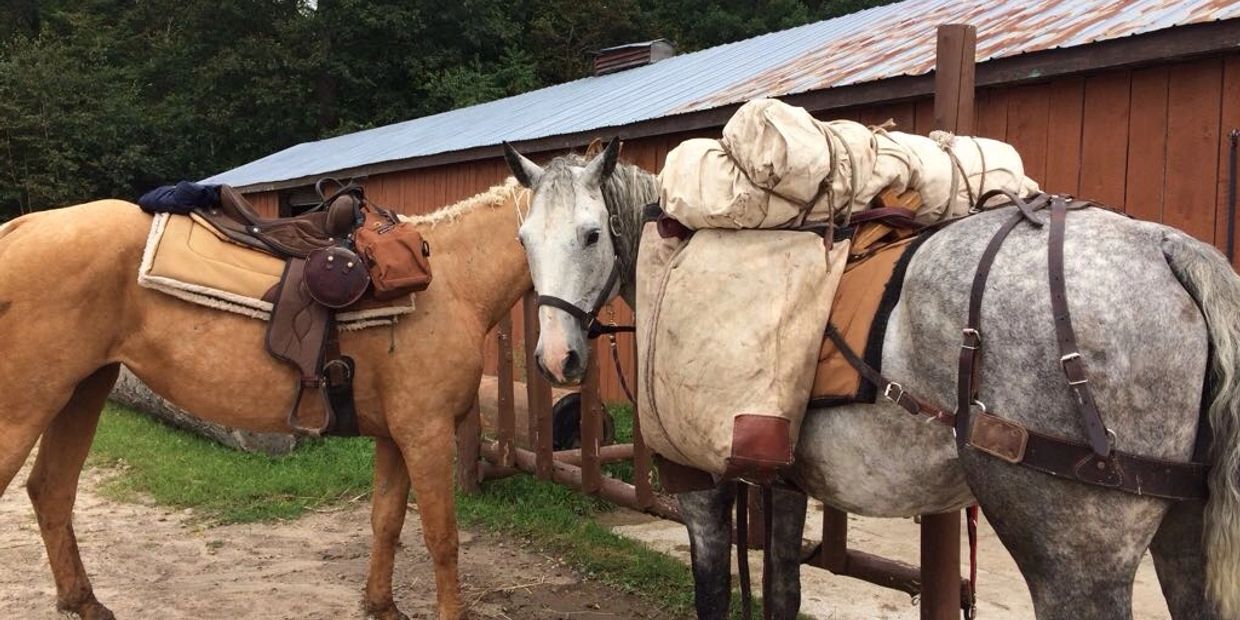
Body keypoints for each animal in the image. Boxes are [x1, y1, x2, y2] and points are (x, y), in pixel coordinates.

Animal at [0, 181, 532, 620]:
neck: (452, 280)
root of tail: (19, 227)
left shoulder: (396, 434)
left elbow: (387, 520)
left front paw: (381, 606)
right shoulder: (427, 432)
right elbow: (442, 537)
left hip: (83, 391)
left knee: (52, 491)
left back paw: (84, 602)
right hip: (27, 406)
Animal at [501, 139, 1240, 620]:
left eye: (592, 234)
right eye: (523, 240)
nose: (557, 360)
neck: (677, 257)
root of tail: (1168, 248)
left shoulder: (701, 481)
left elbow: (714, 592)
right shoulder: (784, 484)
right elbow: (782, 591)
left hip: (1074, 559)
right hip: (1183, 539)